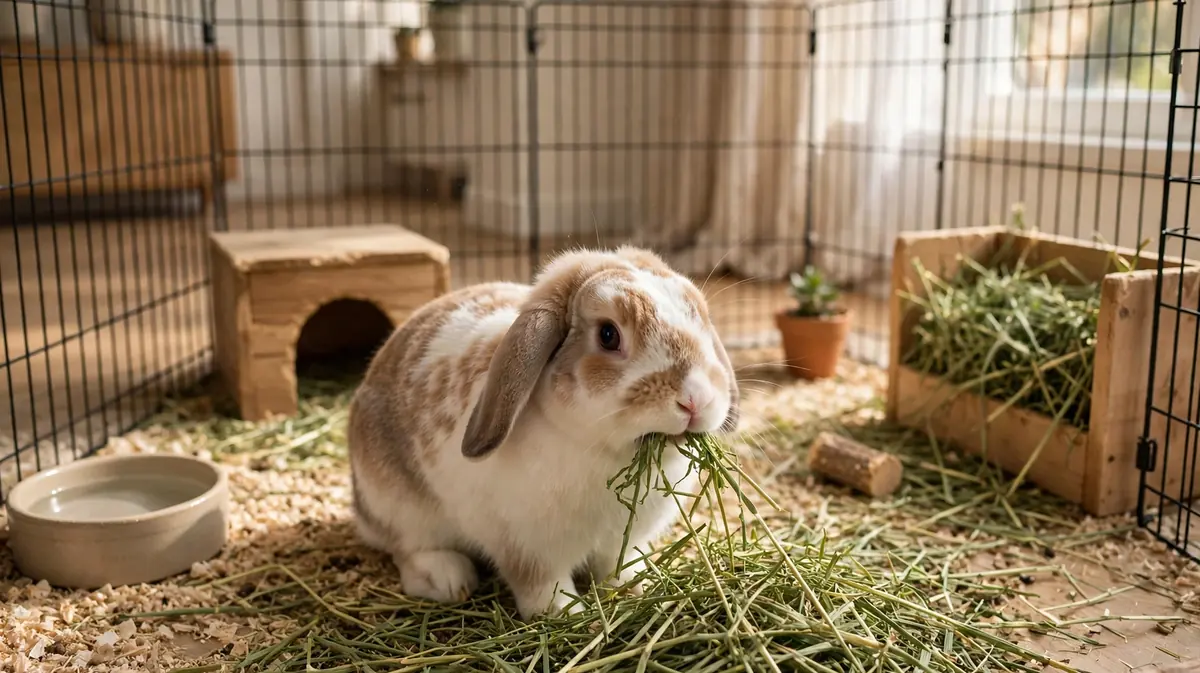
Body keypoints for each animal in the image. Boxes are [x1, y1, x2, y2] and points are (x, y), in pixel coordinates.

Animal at [347, 246, 740, 620]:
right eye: (608, 335)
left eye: (700, 319)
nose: (696, 399)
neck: (603, 451)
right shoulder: (526, 549)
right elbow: (541, 584)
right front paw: (564, 612)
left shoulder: (619, 543)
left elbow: (617, 567)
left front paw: (633, 588)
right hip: (400, 507)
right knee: (407, 549)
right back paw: (448, 578)